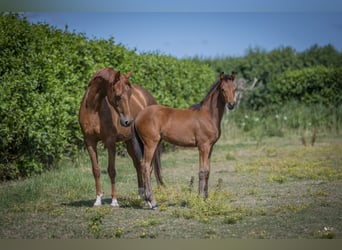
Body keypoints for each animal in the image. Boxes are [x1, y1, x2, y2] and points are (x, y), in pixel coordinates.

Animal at [78, 67, 163, 207]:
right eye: (117, 96)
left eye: (129, 95)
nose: (128, 121)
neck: (93, 109)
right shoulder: (89, 142)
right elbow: (96, 170)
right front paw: (98, 199)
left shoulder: (110, 142)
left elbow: (111, 170)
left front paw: (114, 201)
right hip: (130, 143)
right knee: (139, 165)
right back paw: (141, 195)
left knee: (147, 167)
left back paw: (148, 200)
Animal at [131, 71, 235, 208]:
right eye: (223, 89)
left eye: (234, 88)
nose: (231, 105)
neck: (208, 116)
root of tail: (138, 115)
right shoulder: (203, 147)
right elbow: (202, 172)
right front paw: (199, 198)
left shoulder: (210, 147)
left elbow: (207, 171)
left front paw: (206, 198)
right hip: (150, 144)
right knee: (145, 166)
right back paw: (152, 201)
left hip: (152, 144)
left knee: (148, 168)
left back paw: (148, 201)